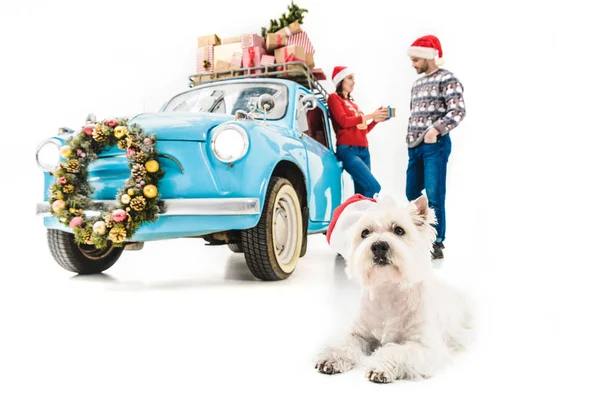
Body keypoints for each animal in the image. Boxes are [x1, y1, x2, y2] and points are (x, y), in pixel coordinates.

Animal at [314, 195, 474, 382]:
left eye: (399, 230)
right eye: (365, 232)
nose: (379, 246)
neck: (388, 290)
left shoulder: (425, 346)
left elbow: (397, 351)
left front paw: (379, 368)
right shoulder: (359, 333)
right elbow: (344, 342)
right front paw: (330, 358)